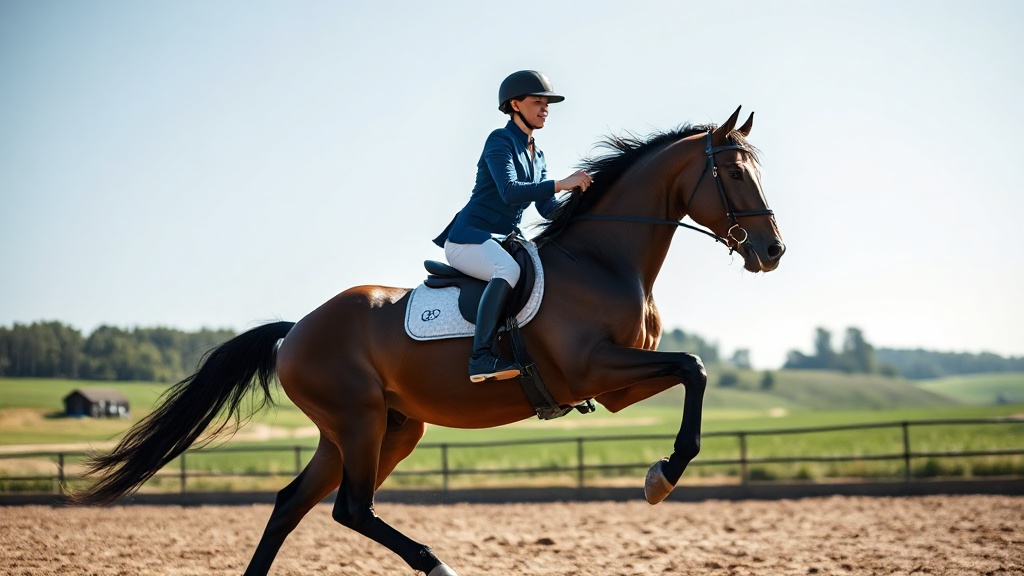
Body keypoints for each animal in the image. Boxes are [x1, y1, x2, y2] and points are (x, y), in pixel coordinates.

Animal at [72, 106, 785, 576]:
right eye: (735, 177)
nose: (773, 252)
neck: (602, 260)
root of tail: (295, 329)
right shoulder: (595, 370)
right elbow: (694, 366)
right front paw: (663, 475)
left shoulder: (616, 384)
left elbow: (690, 370)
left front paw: (662, 473)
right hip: (358, 421)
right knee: (351, 508)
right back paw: (436, 564)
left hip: (380, 427)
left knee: (295, 503)